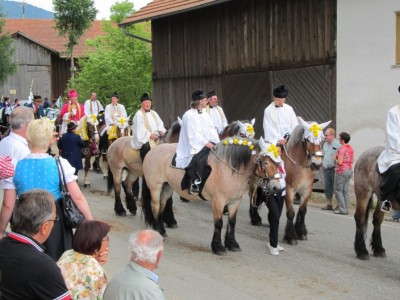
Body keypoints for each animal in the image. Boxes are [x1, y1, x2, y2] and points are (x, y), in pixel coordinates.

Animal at [141, 138, 282, 255]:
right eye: (266, 163)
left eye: (278, 163)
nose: (276, 188)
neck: (230, 169)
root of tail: (153, 151)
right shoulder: (218, 201)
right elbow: (219, 223)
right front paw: (218, 247)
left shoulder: (235, 201)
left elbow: (232, 222)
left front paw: (232, 244)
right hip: (155, 187)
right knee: (155, 206)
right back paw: (158, 231)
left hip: (167, 187)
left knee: (162, 205)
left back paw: (162, 230)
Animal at [250, 116, 332, 244]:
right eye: (308, 140)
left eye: (322, 140)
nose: (317, 164)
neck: (300, 165)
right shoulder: (289, 190)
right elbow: (291, 212)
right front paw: (291, 236)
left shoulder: (307, 189)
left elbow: (302, 210)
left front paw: (301, 232)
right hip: (254, 183)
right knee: (253, 197)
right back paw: (255, 218)